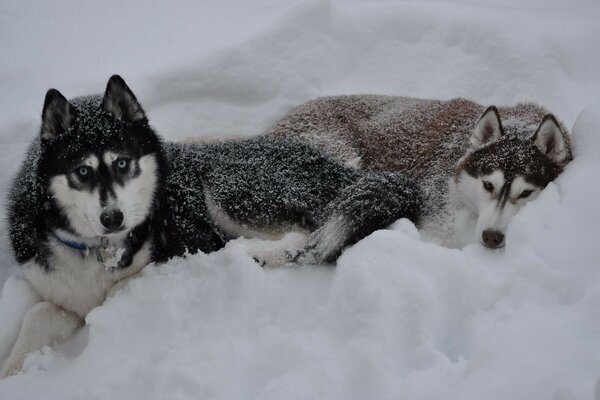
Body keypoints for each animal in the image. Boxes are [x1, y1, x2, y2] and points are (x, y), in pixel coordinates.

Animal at [1, 76, 422, 376]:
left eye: (123, 163)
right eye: (82, 171)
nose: (113, 218)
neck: (97, 249)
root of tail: (336, 167)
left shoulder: (175, 251)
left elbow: (117, 292)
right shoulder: (58, 289)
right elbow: (39, 315)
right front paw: (14, 369)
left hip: (230, 188)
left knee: (310, 239)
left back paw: (258, 254)